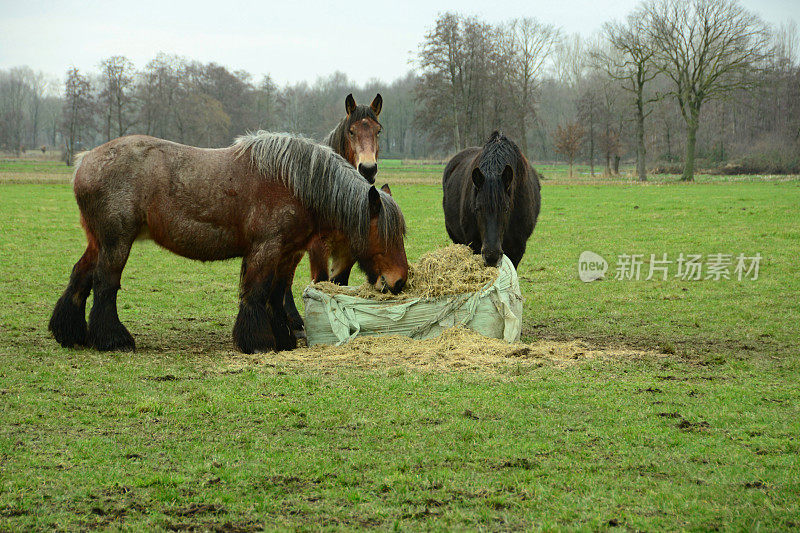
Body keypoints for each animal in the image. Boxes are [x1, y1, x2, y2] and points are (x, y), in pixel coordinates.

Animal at [50, 130, 410, 354]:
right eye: (385, 234)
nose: (399, 282)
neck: (296, 182)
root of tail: (84, 161)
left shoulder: (287, 253)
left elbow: (275, 296)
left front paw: (282, 338)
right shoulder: (266, 250)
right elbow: (257, 293)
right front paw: (258, 341)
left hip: (99, 242)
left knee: (80, 277)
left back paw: (70, 334)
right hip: (117, 243)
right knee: (105, 285)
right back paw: (113, 339)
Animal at [284, 92, 384, 332]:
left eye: (378, 130)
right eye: (351, 131)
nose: (368, 169)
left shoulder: (348, 249)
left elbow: (339, 284)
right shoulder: (318, 246)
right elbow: (321, 282)